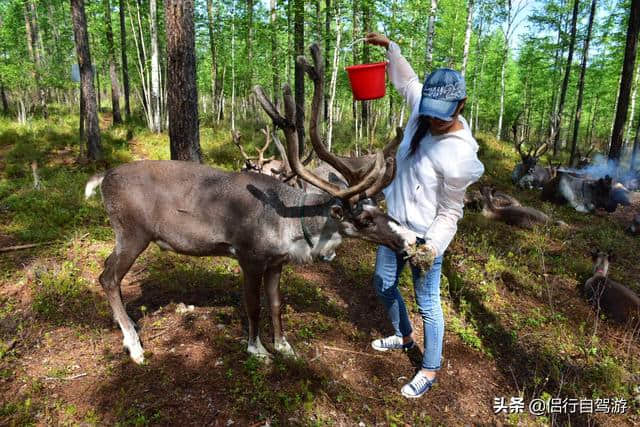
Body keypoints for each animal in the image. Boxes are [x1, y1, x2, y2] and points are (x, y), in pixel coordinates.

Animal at [85, 44, 410, 364]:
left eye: (378, 206)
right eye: (364, 219)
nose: (407, 240)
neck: (291, 223)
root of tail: (104, 177)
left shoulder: (276, 262)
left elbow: (276, 304)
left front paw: (284, 346)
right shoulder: (249, 258)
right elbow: (253, 306)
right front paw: (258, 349)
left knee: (107, 270)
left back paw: (125, 324)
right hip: (133, 234)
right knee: (108, 277)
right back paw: (134, 345)